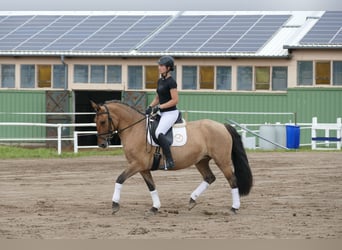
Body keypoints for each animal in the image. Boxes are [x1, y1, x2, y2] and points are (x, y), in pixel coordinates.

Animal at [89, 99, 252, 215]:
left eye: (103, 121)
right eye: (95, 122)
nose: (102, 144)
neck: (134, 129)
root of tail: (222, 126)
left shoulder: (137, 164)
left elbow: (120, 179)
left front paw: (115, 205)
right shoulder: (143, 168)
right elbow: (151, 186)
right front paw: (155, 208)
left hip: (222, 160)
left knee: (232, 180)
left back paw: (234, 208)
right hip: (201, 161)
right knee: (209, 177)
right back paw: (192, 200)